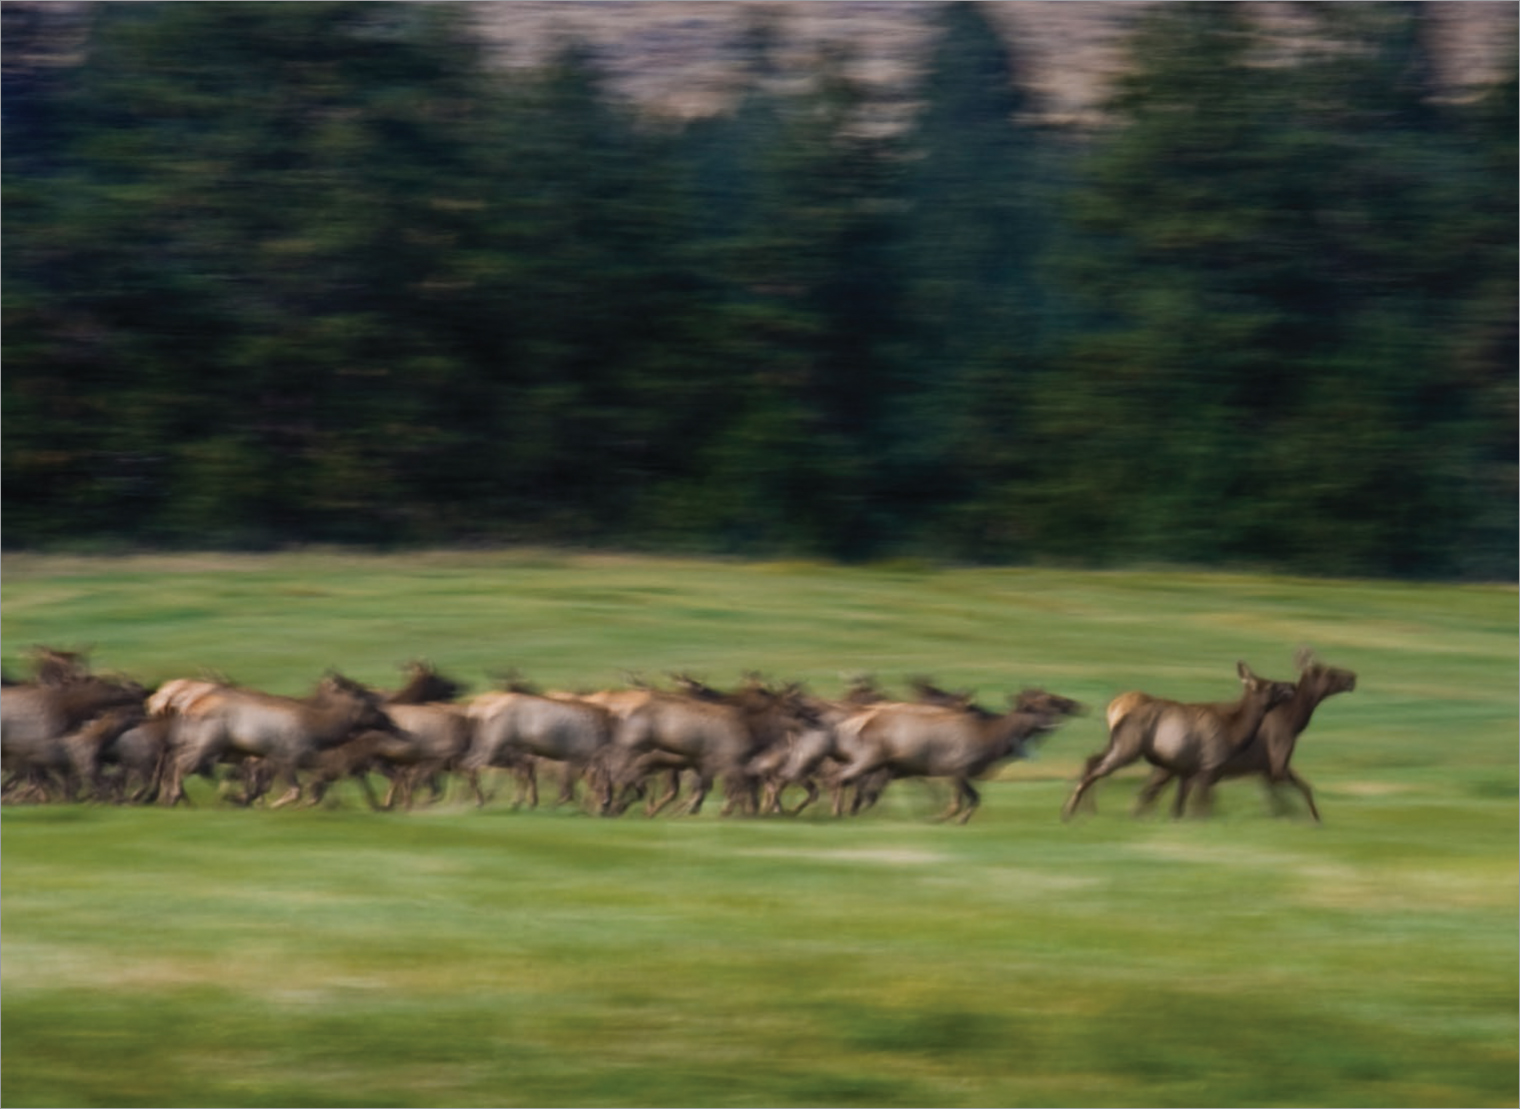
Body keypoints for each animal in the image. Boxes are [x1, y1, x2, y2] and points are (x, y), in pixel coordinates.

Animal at [1064, 656, 1301, 820]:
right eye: (1271, 685)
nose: (1292, 686)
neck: (1235, 732)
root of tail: (1117, 713)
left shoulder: (1186, 770)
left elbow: (1178, 809)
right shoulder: (1209, 765)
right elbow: (1201, 808)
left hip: (1117, 745)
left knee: (1092, 761)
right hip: (1128, 748)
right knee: (1095, 771)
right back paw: (1070, 812)